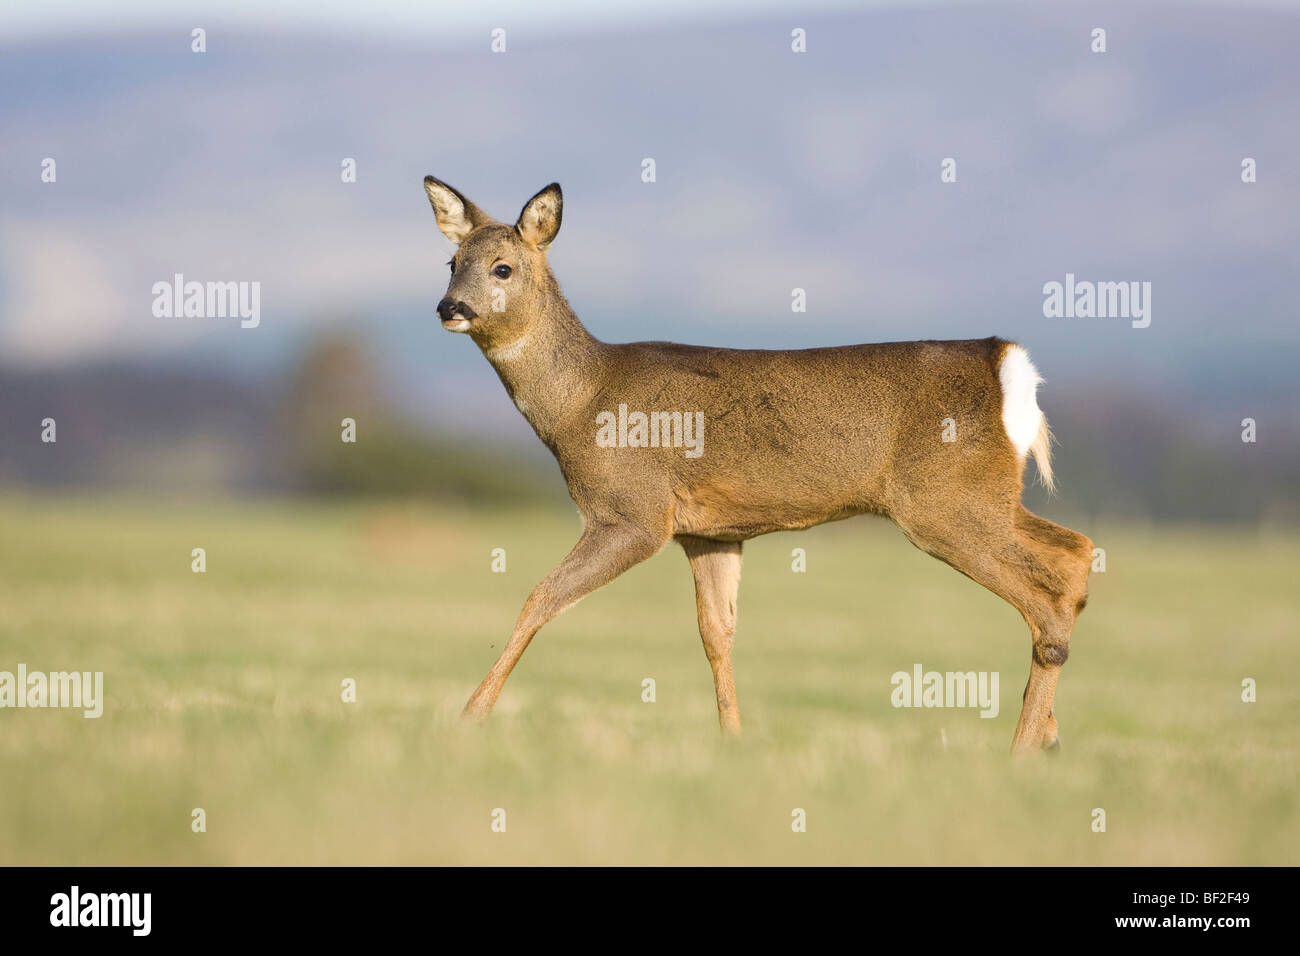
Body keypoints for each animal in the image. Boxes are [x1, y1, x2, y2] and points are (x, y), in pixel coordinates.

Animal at [423, 175, 1086, 749]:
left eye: (503, 266)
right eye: (452, 263)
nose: (449, 307)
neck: (581, 402)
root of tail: (1008, 365)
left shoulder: (633, 513)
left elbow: (539, 598)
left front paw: (468, 718)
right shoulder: (709, 532)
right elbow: (717, 634)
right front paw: (733, 740)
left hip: (942, 502)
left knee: (1049, 592)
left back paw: (1024, 749)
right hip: (985, 497)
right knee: (1075, 554)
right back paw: (1049, 735)